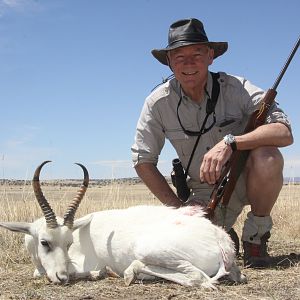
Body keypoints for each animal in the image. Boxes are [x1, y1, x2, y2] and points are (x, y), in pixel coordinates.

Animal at [0, 162, 246, 288]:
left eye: (68, 243)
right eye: (45, 242)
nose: (62, 277)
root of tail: (223, 242)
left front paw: (98, 273)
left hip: (148, 249)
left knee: (199, 279)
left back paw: (128, 272)